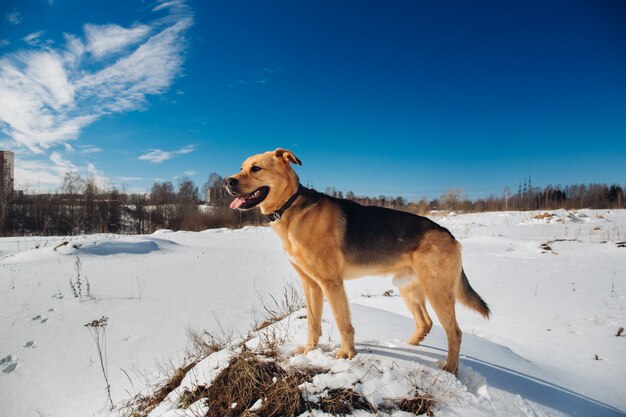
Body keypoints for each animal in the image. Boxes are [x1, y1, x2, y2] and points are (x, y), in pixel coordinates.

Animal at [224, 148, 488, 372]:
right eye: (241, 167)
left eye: (256, 168)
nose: (228, 181)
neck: (291, 206)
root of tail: (451, 236)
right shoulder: (310, 284)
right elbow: (313, 324)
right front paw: (309, 350)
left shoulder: (331, 284)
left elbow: (343, 323)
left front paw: (346, 355)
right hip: (407, 287)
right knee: (425, 323)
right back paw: (408, 347)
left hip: (437, 292)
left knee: (454, 332)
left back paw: (450, 368)